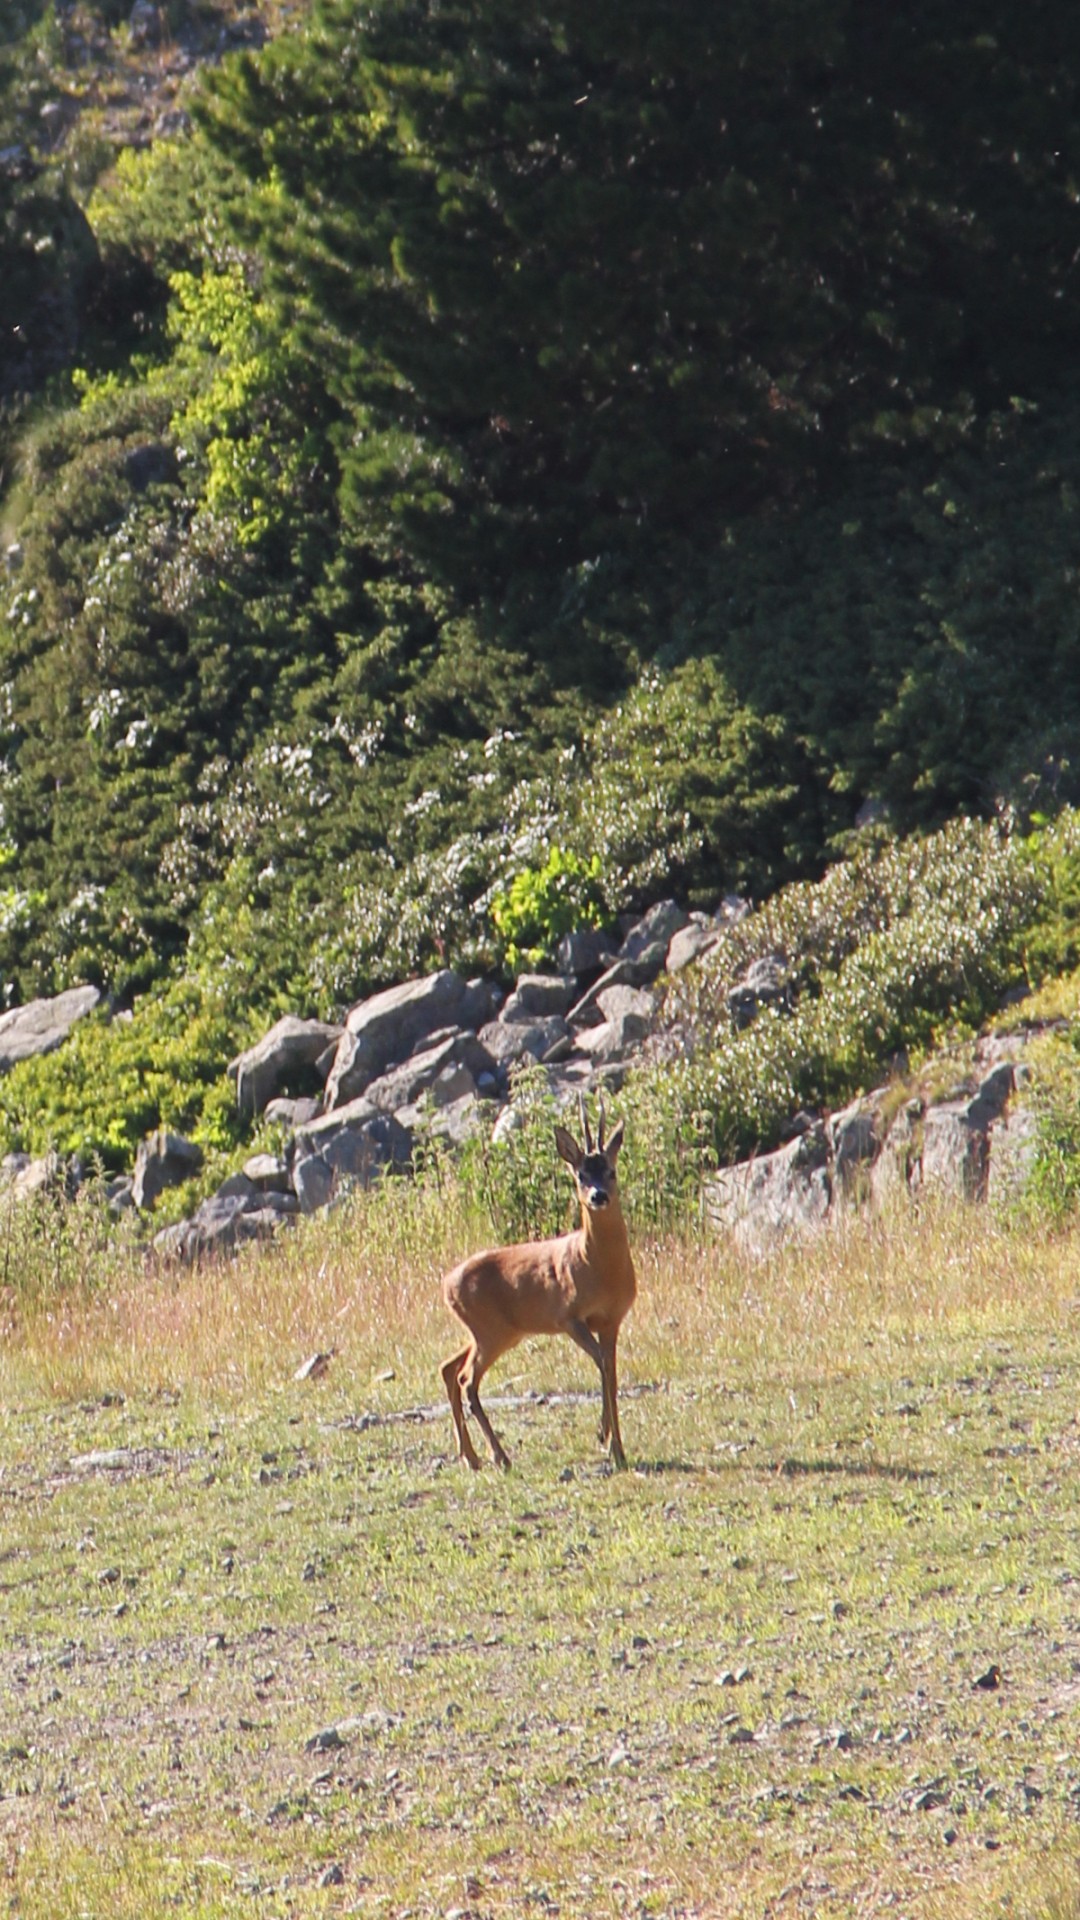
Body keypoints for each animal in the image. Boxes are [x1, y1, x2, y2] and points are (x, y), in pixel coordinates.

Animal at [440, 1097, 637, 1471]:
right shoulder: (569, 1316)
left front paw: (609, 1439)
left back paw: (470, 1456)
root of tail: (446, 1284)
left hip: (493, 1331)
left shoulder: (613, 1320)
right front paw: (612, 1445)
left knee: (448, 1367)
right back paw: (499, 1456)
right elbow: (604, 1366)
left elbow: (611, 1370)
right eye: (580, 1174)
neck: (600, 1269)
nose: (598, 1196)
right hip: (490, 1331)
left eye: (612, 1171)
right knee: (466, 1378)